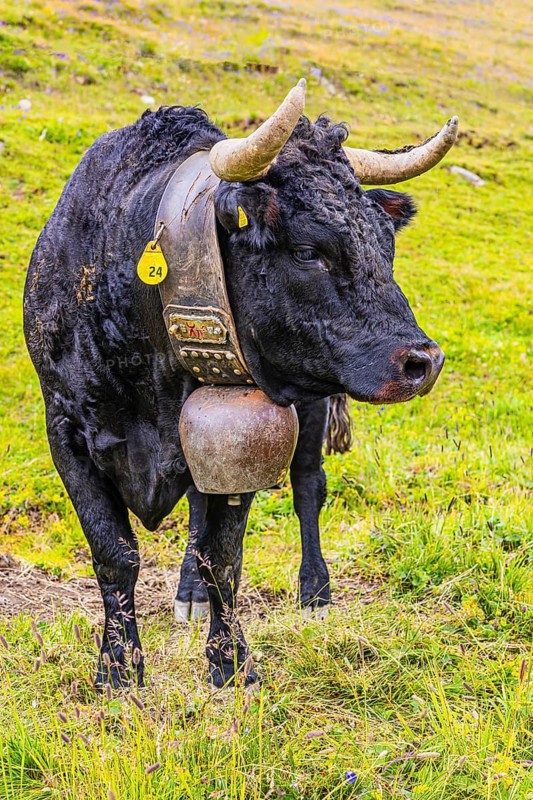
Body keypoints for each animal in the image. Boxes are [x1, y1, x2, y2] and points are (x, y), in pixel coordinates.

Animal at [23, 80, 457, 688]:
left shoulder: (247, 427)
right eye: (308, 251)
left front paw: (231, 664)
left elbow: (224, 556)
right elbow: (115, 551)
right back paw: (187, 594)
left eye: (385, 244)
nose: (423, 361)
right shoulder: (65, 427)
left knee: (307, 487)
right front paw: (118, 667)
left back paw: (315, 590)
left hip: (311, 407)